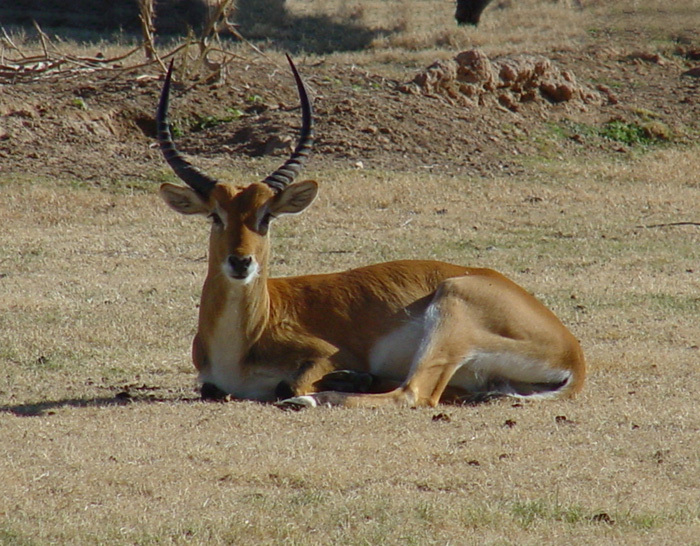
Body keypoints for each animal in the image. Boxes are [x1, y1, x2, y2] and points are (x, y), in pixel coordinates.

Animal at [157, 55, 584, 406]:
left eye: (266, 216)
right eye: (216, 215)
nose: (240, 262)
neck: (243, 340)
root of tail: (574, 356)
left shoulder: (325, 353)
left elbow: (286, 383)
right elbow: (211, 389)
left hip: (450, 314)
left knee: (412, 394)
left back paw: (320, 397)